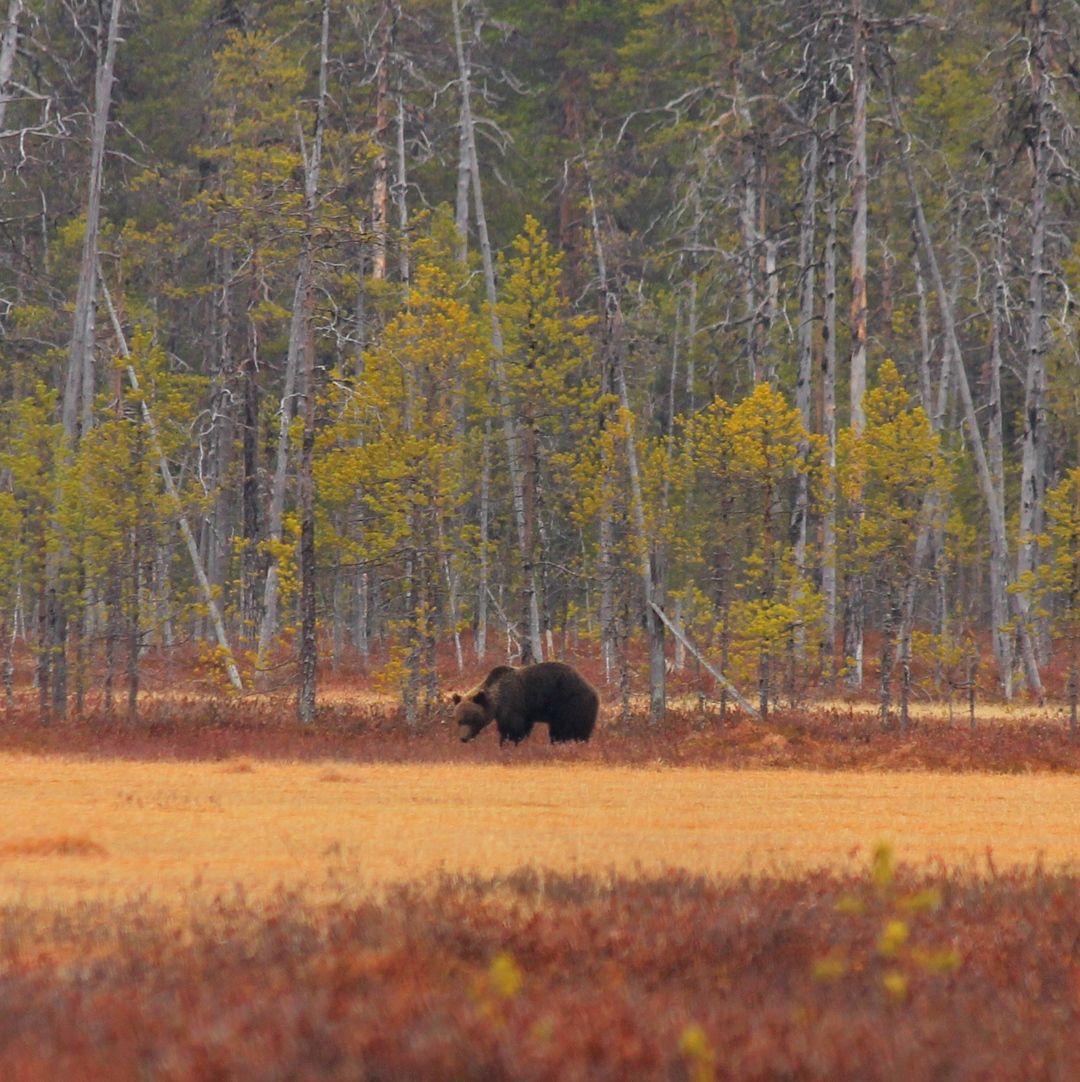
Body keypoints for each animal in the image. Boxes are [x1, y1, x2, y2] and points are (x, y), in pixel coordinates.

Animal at [450, 657, 601, 744]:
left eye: (472, 719)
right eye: (459, 720)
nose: (463, 738)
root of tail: (593, 689)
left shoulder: (512, 703)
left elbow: (512, 729)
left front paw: (508, 744)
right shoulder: (526, 712)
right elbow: (524, 727)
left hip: (571, 703)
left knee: (570, 728)